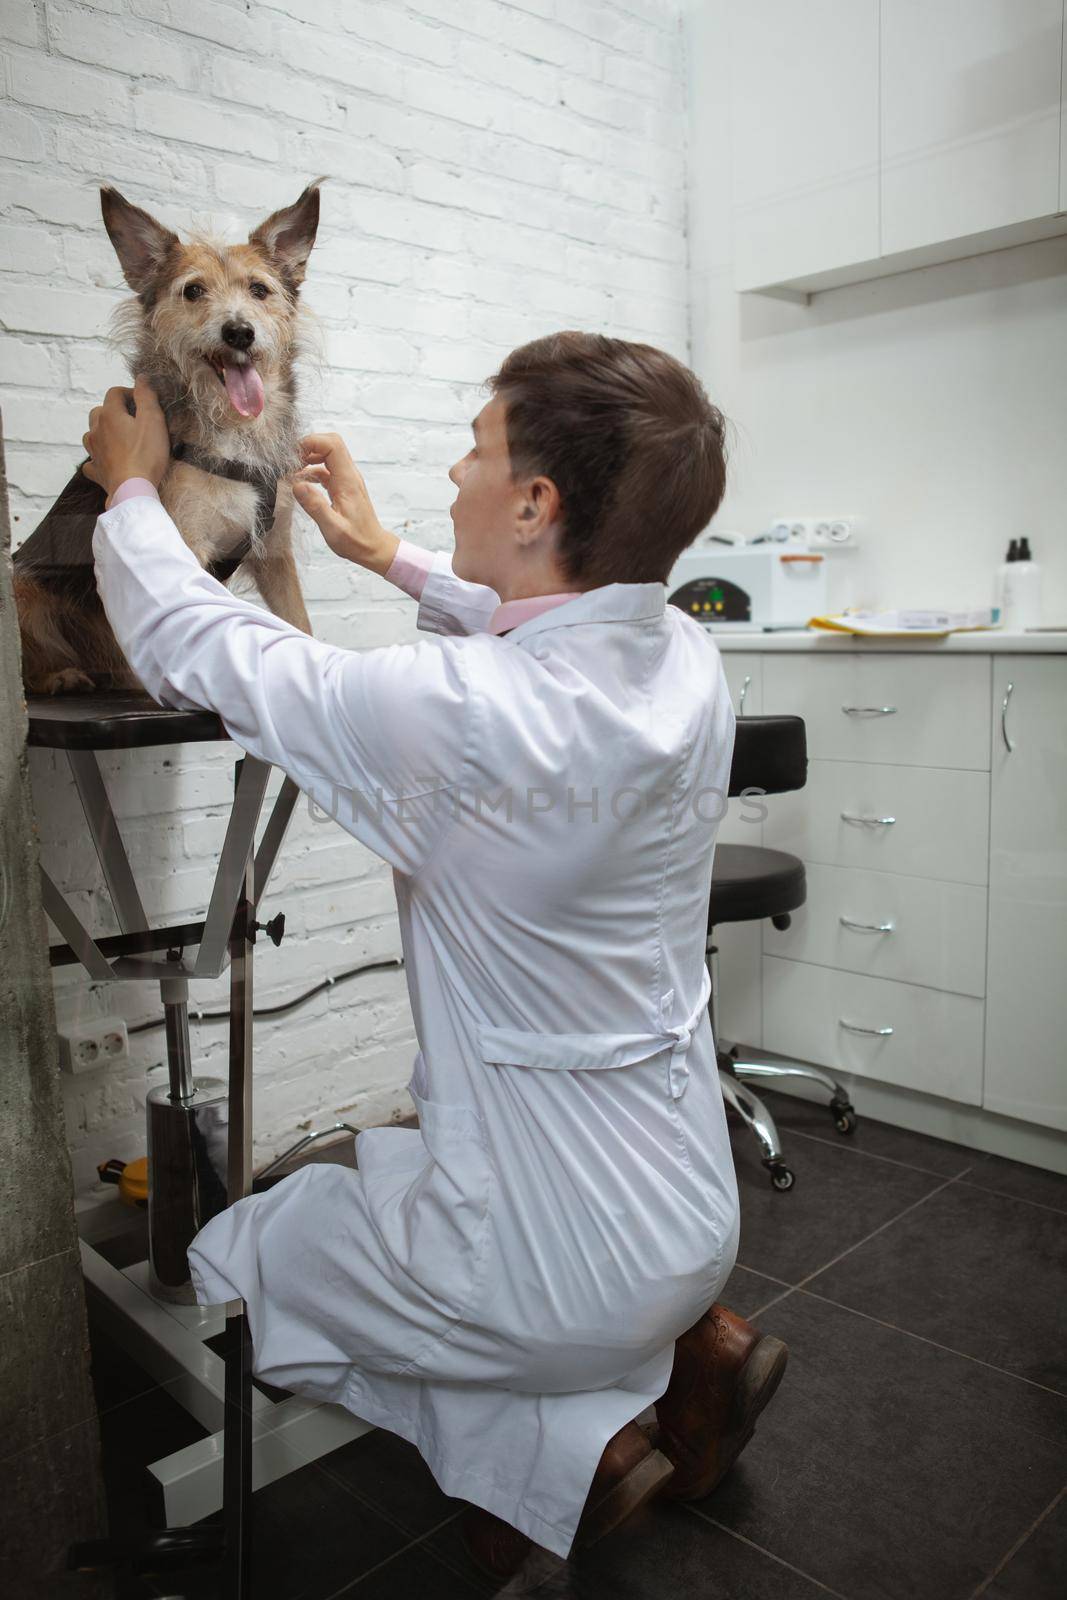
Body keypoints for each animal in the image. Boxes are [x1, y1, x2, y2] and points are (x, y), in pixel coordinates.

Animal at [12, 180, 326, 694]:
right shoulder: (187, 541)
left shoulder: (274, 551)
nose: (239, 332)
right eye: (193, 290)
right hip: (22, 585)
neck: (234, 429)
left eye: (259, 289)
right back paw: (62, 675)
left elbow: (301, 624)